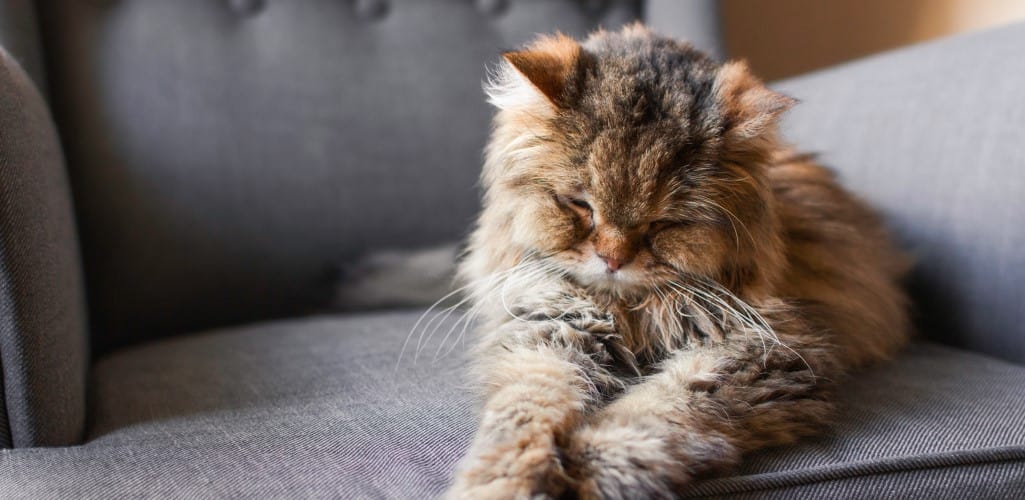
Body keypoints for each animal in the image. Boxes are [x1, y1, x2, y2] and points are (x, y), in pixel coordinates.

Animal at [444, 24, 910, 500]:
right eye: (580, 205)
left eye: (664, 223)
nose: (613, 259)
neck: (628, 311)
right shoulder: (550, 332)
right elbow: (524, 412)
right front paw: (503, 482)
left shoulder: (767, 352)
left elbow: (658, 410)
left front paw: (591, 466)